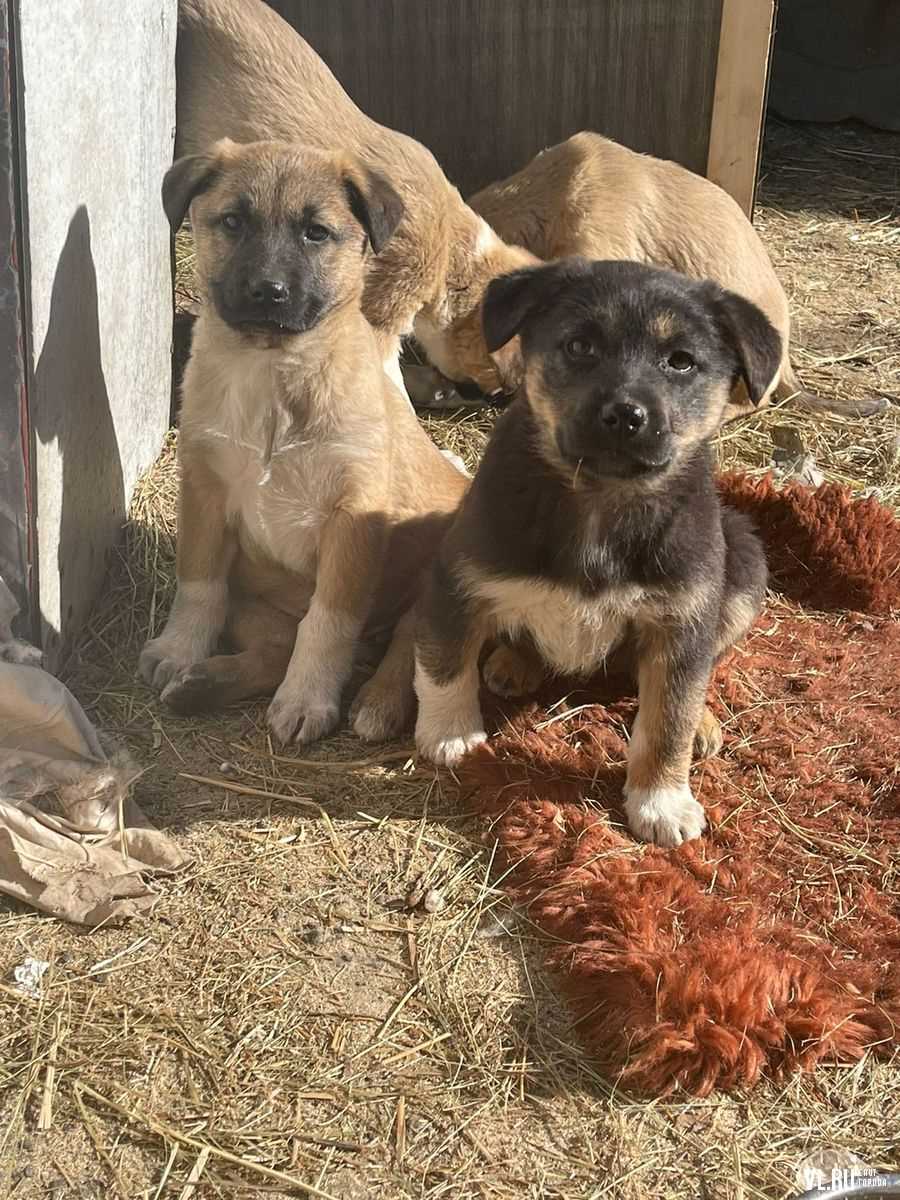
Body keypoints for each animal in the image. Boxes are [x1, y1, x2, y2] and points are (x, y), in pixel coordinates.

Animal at [139, 140, 472, 739]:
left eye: (316, 233)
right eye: (233, 221)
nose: (267, 292)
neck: (274, 372)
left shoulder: (353, 517)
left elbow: (328, 622)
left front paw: (307, 699)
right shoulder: (205, 488)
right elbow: (198, 583)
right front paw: (178, 650)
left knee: (410, 635)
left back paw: (378, 702)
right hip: (254, 599)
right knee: (275, 644)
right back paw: (204, 683)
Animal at [415, 260, 777, 844]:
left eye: (681, 361)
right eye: (580, 346)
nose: (625, 415)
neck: (599, 498)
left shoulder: (683, 617)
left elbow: (669, 718)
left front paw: (662, 802)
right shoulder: (458, 579)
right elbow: (445, 665)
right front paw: (450, 735)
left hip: (743, 560)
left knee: (701, 669)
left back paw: (703, 721)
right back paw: (512, 663)